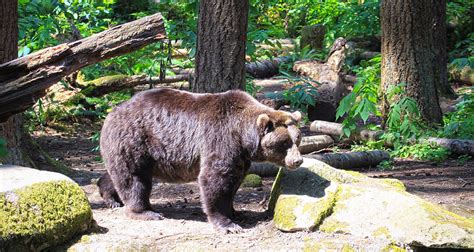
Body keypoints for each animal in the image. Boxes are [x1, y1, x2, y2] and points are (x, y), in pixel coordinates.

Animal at [99, 87, 304, 233]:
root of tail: (112, 112)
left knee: (119, 173)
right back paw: (145, 211)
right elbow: (215, 179)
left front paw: (236, 212)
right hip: (135, 140)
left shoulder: (240, 157)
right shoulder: (220, 139)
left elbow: (234, 181)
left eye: (297, 138)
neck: (242, 137)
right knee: (134, 177)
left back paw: (112, 197)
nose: (297, 161)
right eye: (284, 142)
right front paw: (227, 224)